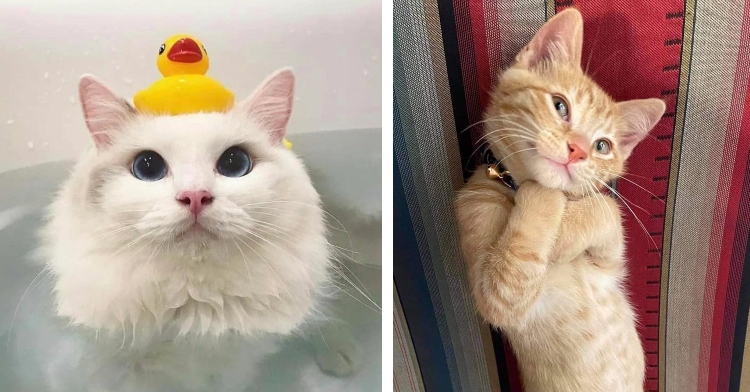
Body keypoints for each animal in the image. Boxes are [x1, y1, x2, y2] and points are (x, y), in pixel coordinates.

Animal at [456, 9, 668, 392]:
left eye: (603, 146)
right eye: (560, 106)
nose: (578, 151)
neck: (514, 189)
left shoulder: (608, 264)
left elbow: (606, 207)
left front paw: (561, 237)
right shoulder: (495, 294)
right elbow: (507, 279)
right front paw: (549, 209)